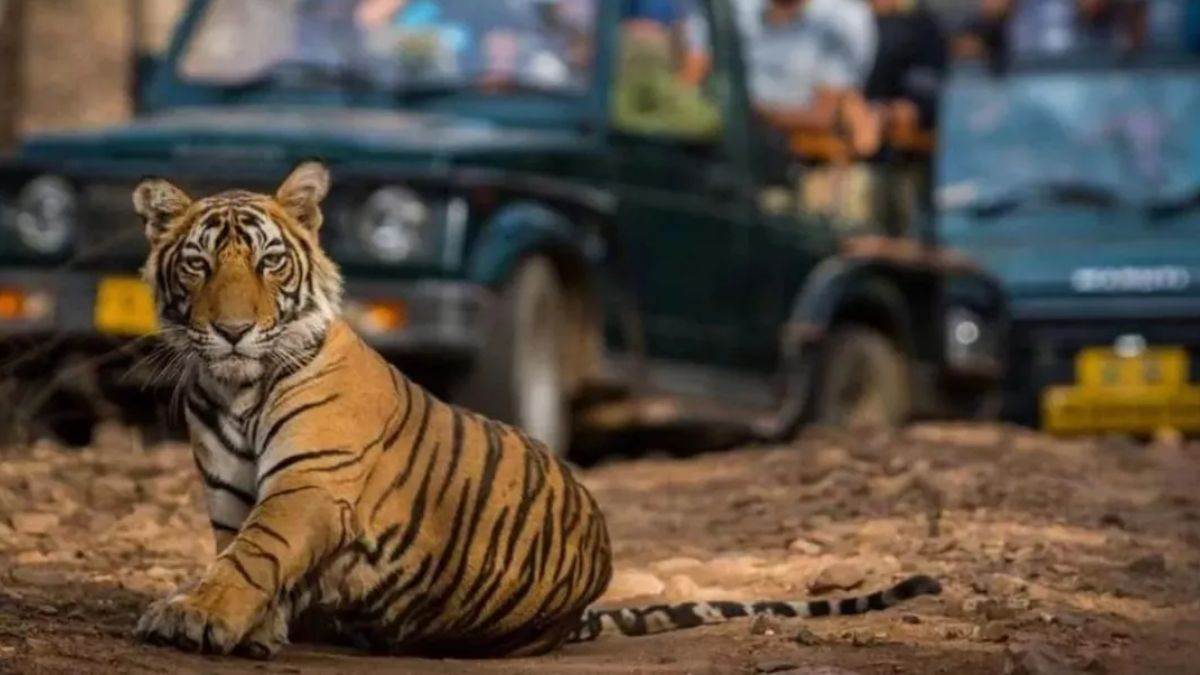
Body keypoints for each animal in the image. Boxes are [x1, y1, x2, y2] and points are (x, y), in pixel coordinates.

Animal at [130, 161, 943, 659]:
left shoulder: (310, 482)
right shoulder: (231, 493)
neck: (235, 389)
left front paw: (198, 616)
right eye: (198, 264)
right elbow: (239, 553)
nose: (233, 330)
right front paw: (246, 624)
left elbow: (254, 553)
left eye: (270, 262)